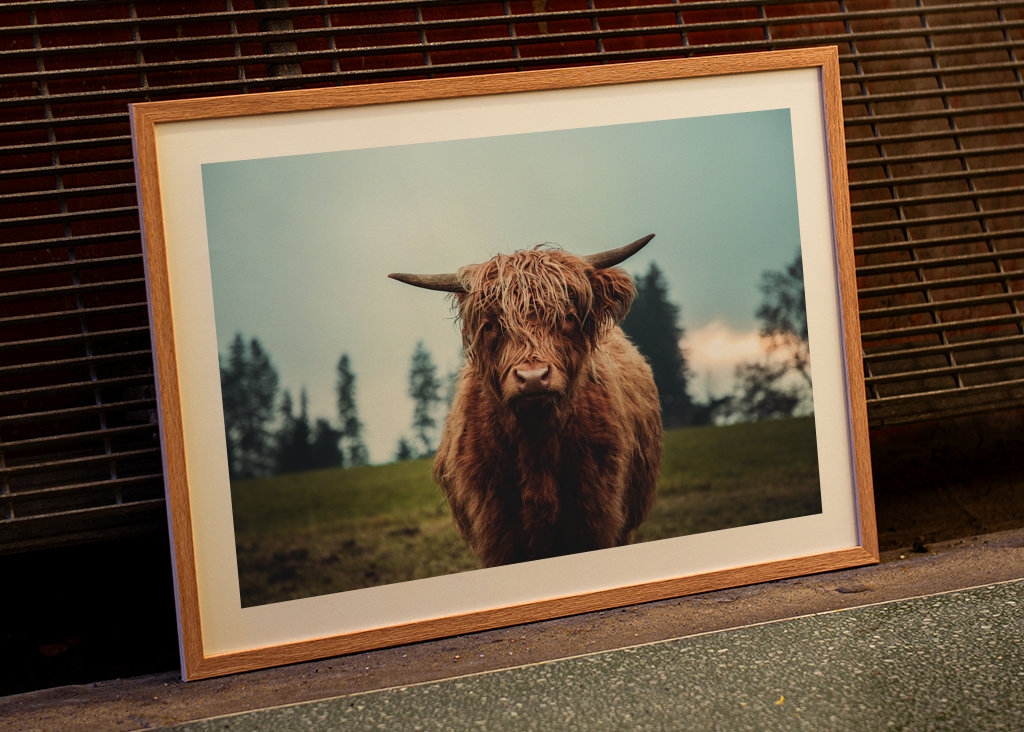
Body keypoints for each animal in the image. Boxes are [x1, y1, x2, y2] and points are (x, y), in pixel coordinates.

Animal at [389, 234, 662, 567]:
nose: (532, 377)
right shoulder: (497, 533)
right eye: (491, 325)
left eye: (568, 317)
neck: (536, 447)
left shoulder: (598, 518)